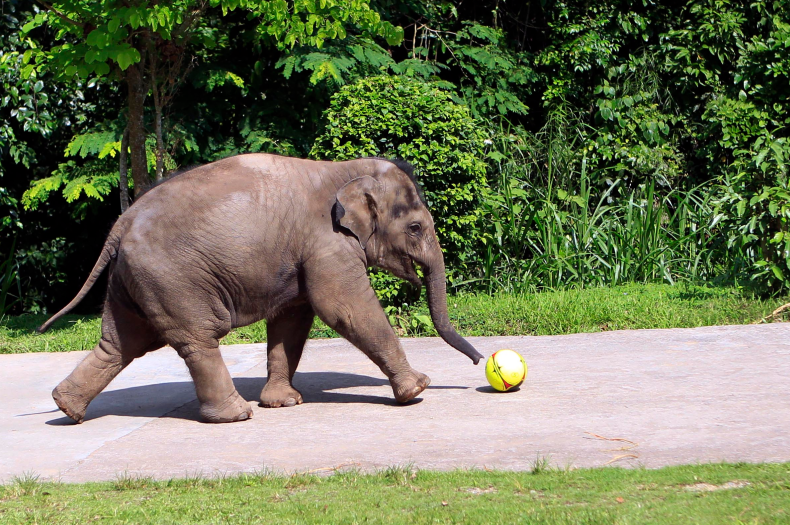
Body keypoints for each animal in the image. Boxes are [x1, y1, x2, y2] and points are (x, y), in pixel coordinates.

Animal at [40, 154, 486, 424]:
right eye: (415, 228)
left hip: (131, 279)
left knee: (120, 343)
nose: (481, 361)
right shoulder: (326, 243)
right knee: (196, 338)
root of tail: (119, 225)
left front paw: (285, 403)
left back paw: (67, 409)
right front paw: (417, 390)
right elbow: (343, 307)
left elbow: (293, 318)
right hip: (170, 278)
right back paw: (236, 416)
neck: (345, 169)